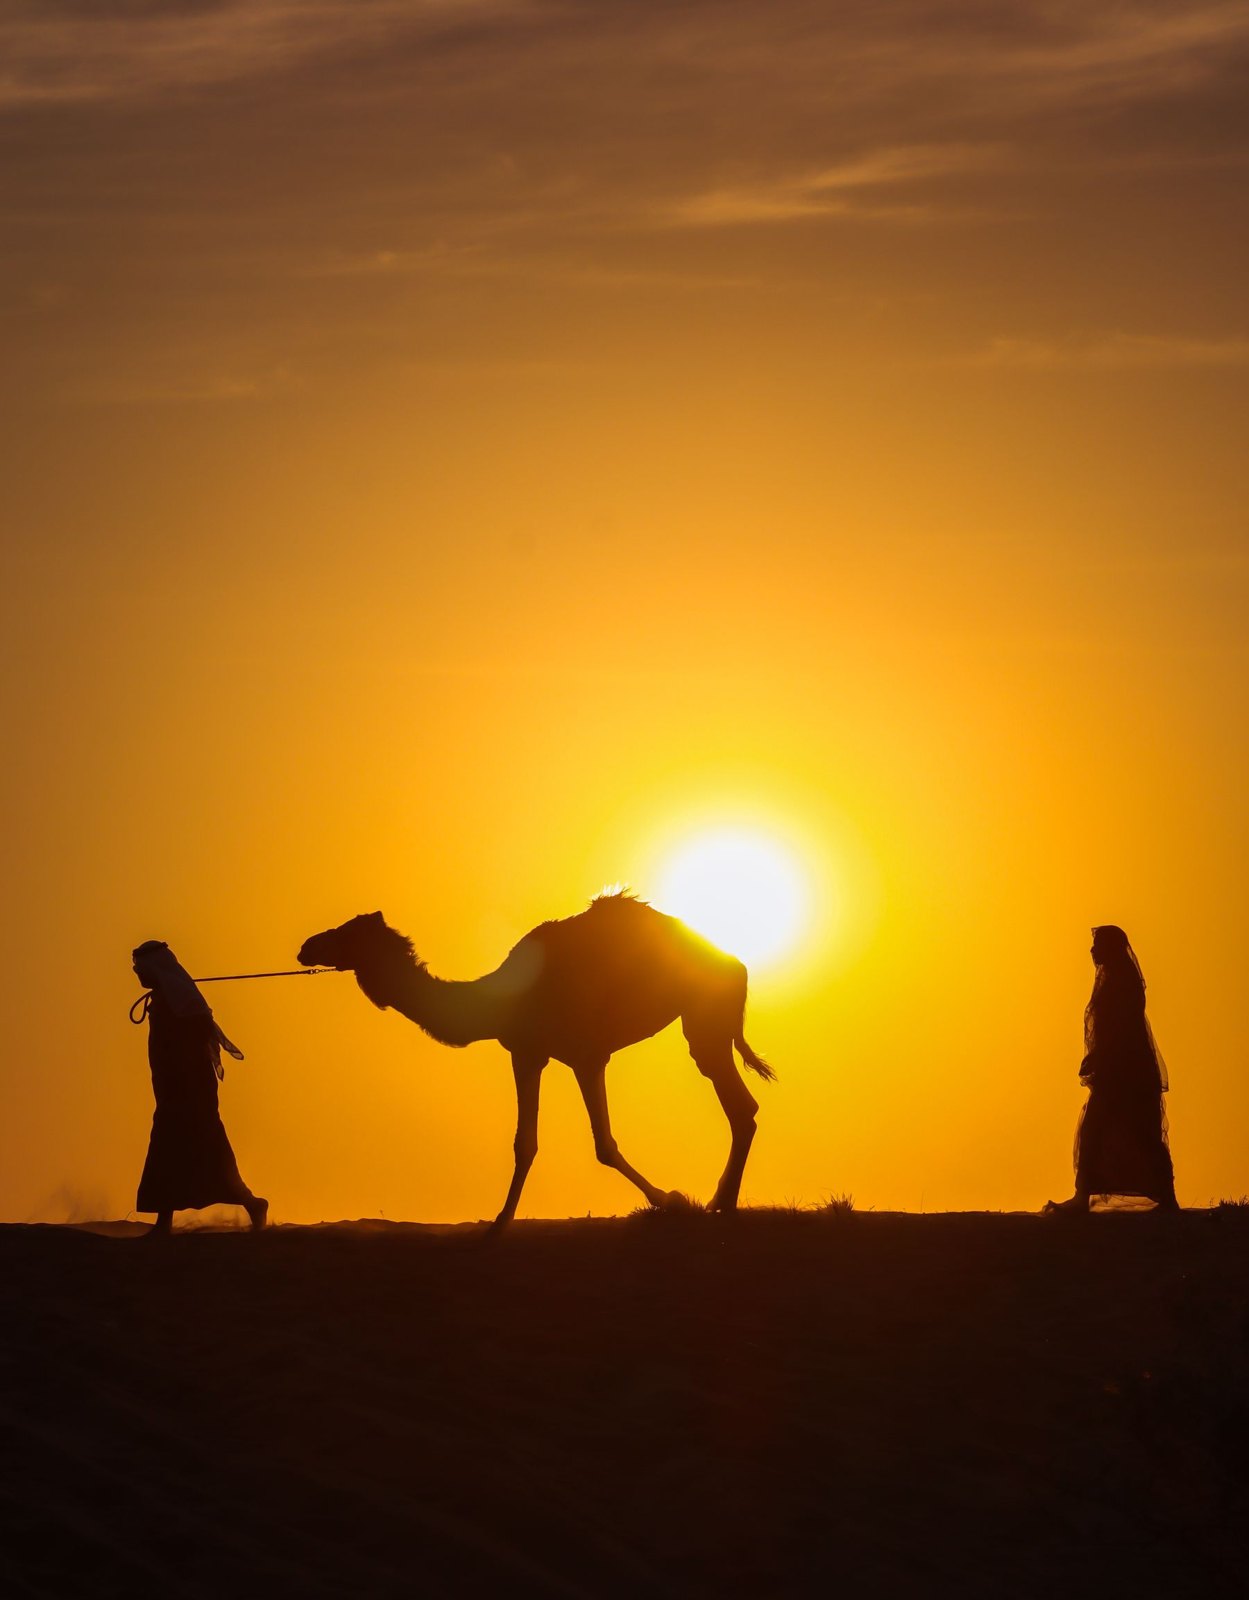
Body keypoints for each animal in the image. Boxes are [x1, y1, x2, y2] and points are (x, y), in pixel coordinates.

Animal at [297, 893, 774, 1224]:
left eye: (348, 932)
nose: (306, 946)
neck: (496, 1001)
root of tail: (736, 964)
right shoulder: (528, 1052)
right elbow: (524, 1142)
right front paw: (498, 1224)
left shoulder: (586, 1055)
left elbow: (603, 1144)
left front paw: (672, 1200)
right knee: (742, 1106)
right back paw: (720, 1202)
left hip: (704, 1015)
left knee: (739, 1104)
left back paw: (722, 1204)